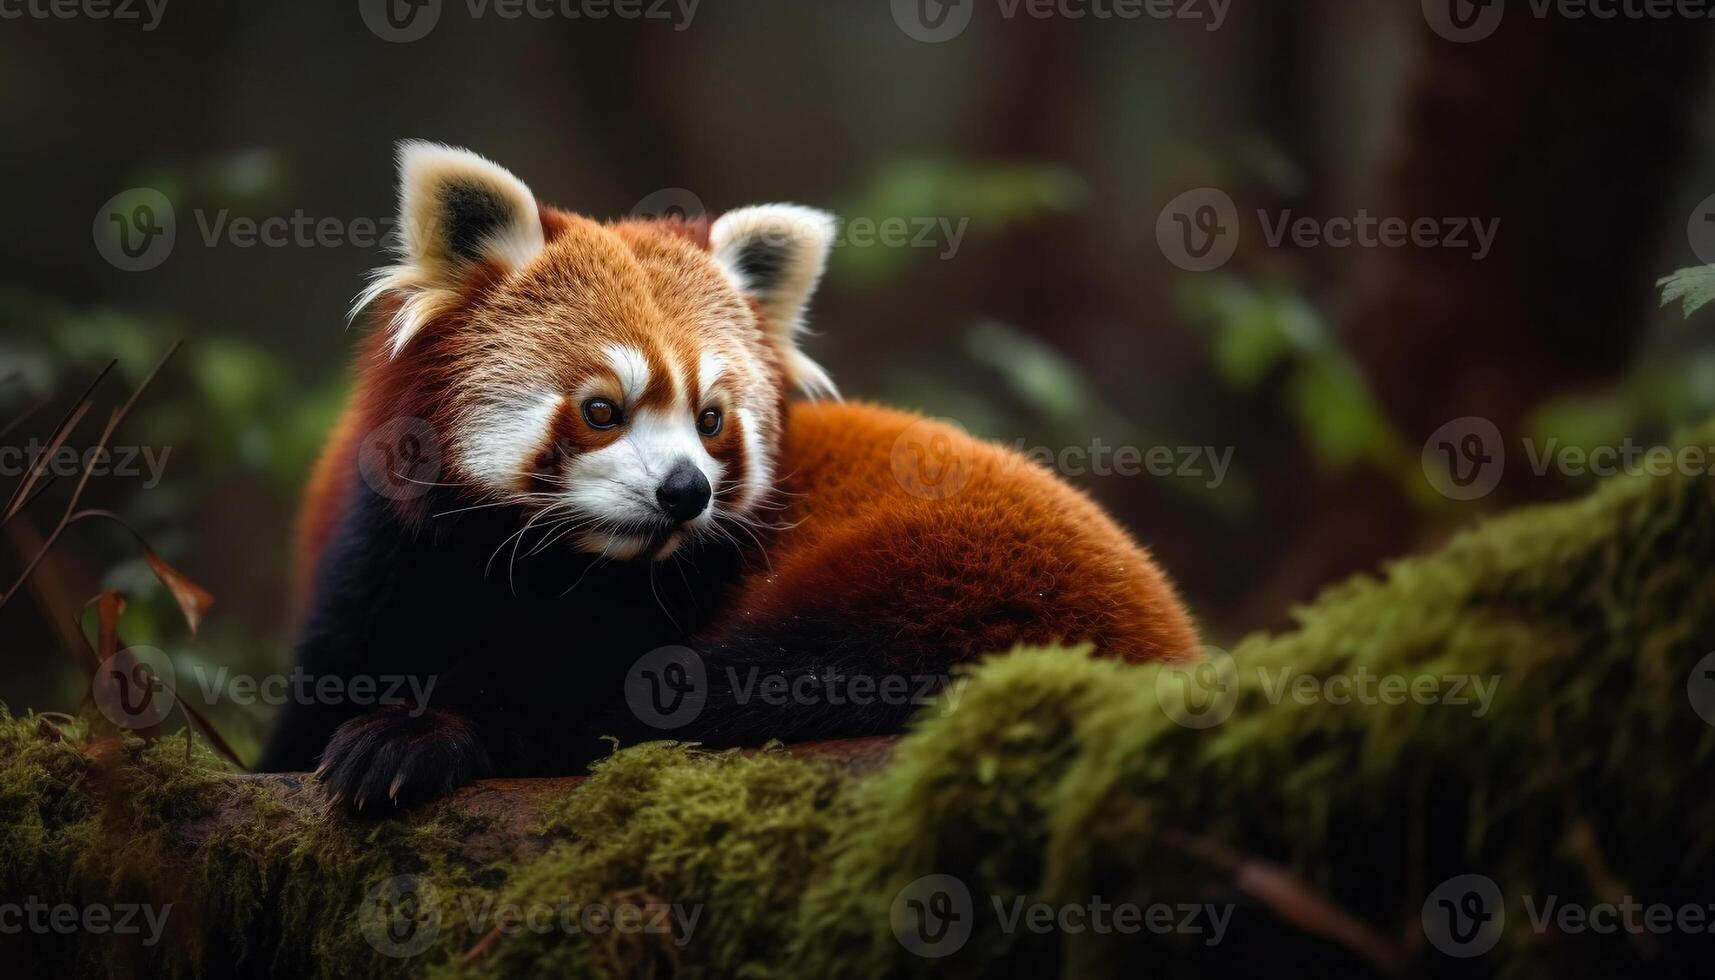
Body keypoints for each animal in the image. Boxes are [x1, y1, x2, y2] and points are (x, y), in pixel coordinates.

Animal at [260, 141, 1200, 810]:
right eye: (601, 409)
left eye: (711, 420)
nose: (686, 492)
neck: (542, 564)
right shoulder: (385, 549)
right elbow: (343, 653)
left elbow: (578, 679)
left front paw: (418, 736)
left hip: (951, 577)